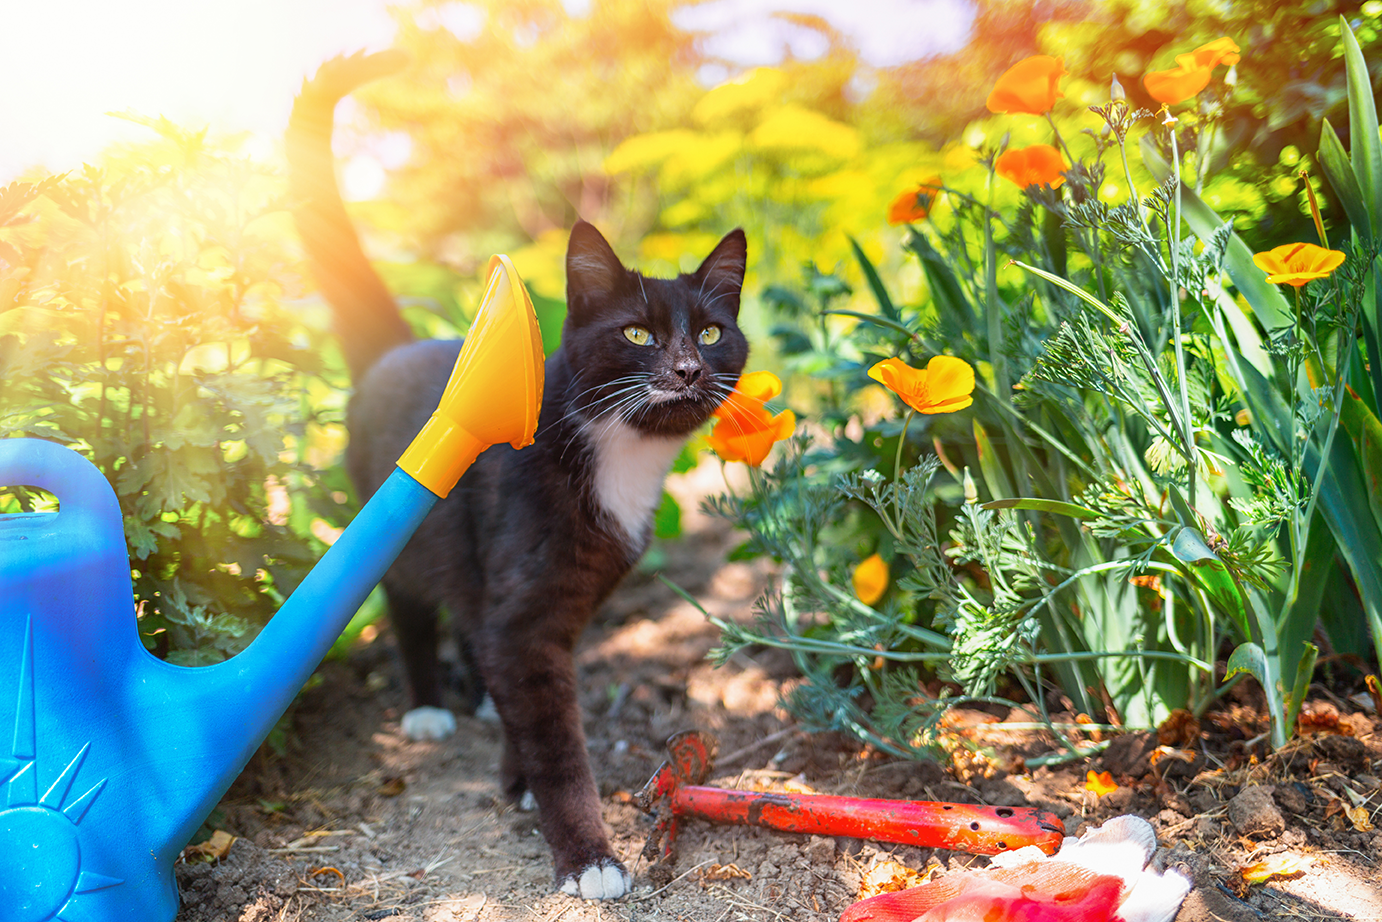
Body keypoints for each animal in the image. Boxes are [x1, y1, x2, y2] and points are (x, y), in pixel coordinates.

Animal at [284, 52, 751, 901]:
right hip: (402, 526)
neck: (614, 451)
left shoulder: (558, 606)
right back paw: (429, 706)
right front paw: (587, 856)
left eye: (710, 332)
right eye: (637, 334)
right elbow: (555, 739)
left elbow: (526, 697)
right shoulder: (524, 612)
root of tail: (393, 348)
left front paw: (518, 778)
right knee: (410, 601)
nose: (688, 369)